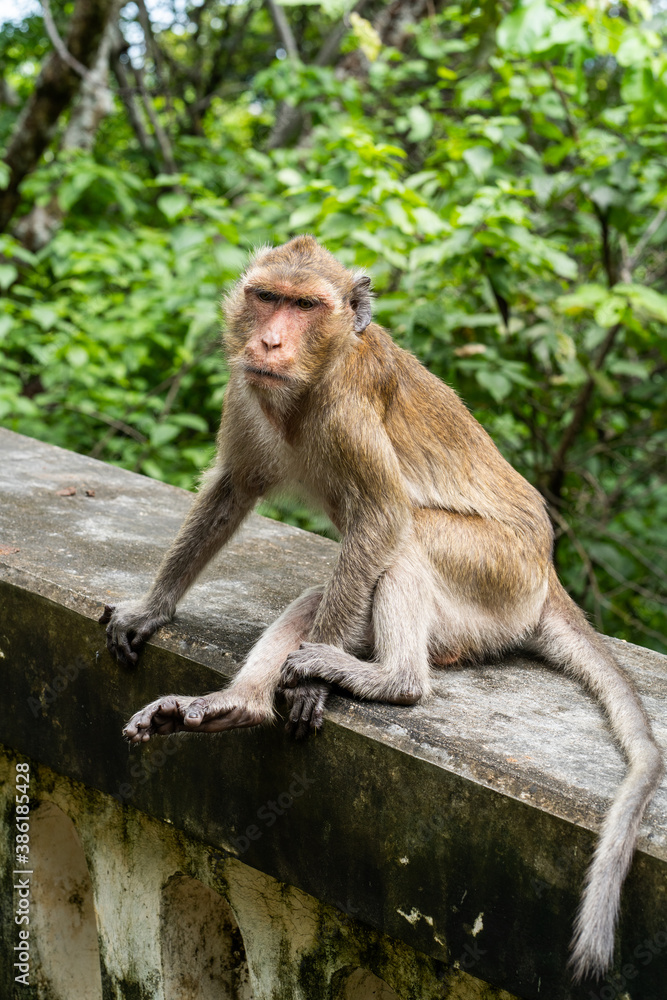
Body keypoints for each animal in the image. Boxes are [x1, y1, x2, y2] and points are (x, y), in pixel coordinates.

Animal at [101, 234, 662, 982]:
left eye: (305, 305)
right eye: (266, 297)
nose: (270, 341)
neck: (306, 386)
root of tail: (545, 575)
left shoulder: (348, 411)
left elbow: (379, 518)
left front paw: (312, 687)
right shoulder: (248, 392)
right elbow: (232, 487)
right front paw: (152, 607)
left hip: (496, 578)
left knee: (408, 533)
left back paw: (388, 679)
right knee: (323, 595)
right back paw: (236, 706)